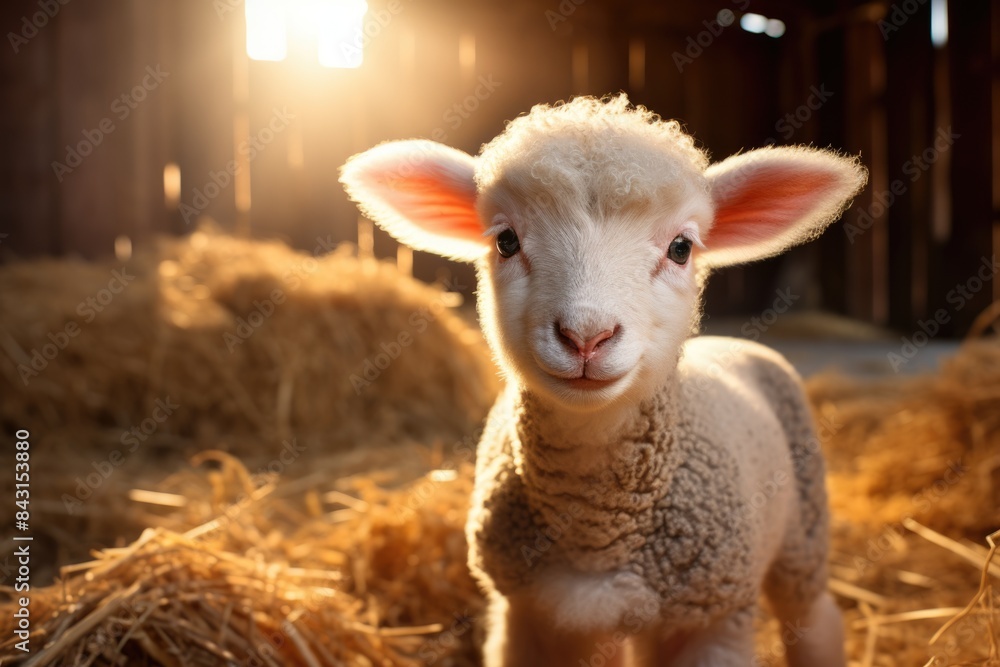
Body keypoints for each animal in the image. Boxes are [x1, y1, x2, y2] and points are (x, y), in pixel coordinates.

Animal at [340, 94, 867, 667]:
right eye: (505, 241)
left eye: (681, 248)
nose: (586, 336)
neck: (595, 529)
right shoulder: (526, 613)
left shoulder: (714, 617)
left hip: (802, 530)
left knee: (813, 618)